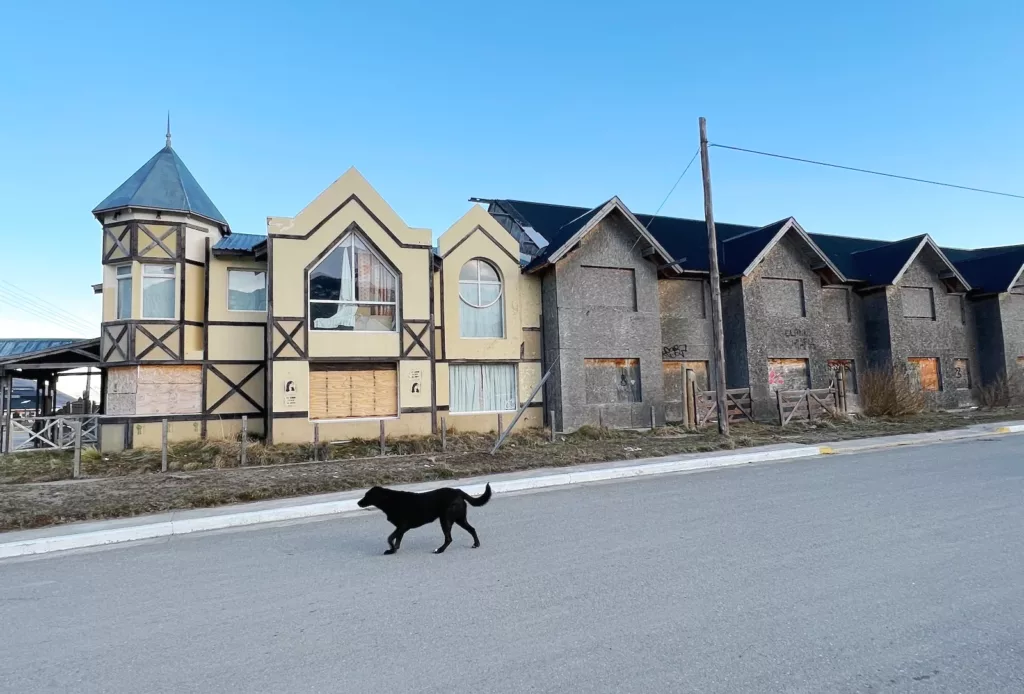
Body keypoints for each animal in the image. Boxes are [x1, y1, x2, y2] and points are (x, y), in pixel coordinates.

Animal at [356, 483, 491, 552]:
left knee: (449, 538)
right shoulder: (401, 528)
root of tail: (458, 491)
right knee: (472, 529)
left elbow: (390, 538)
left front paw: (391, 549)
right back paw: (476, 544)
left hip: (445, 520)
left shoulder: (402, 526)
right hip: (459, 519)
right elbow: (396, 540)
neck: (389, 500)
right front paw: (394, 549)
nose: (358, 503)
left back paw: (440, 550)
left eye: (367, 495)